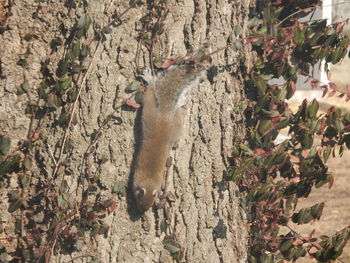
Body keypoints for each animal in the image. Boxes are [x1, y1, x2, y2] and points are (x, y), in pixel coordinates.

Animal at [131, 47, 208, 212]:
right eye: (139, 202)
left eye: (150, 202)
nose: (143, 210)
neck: (149, 180)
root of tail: (164, 115)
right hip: (160, 109)